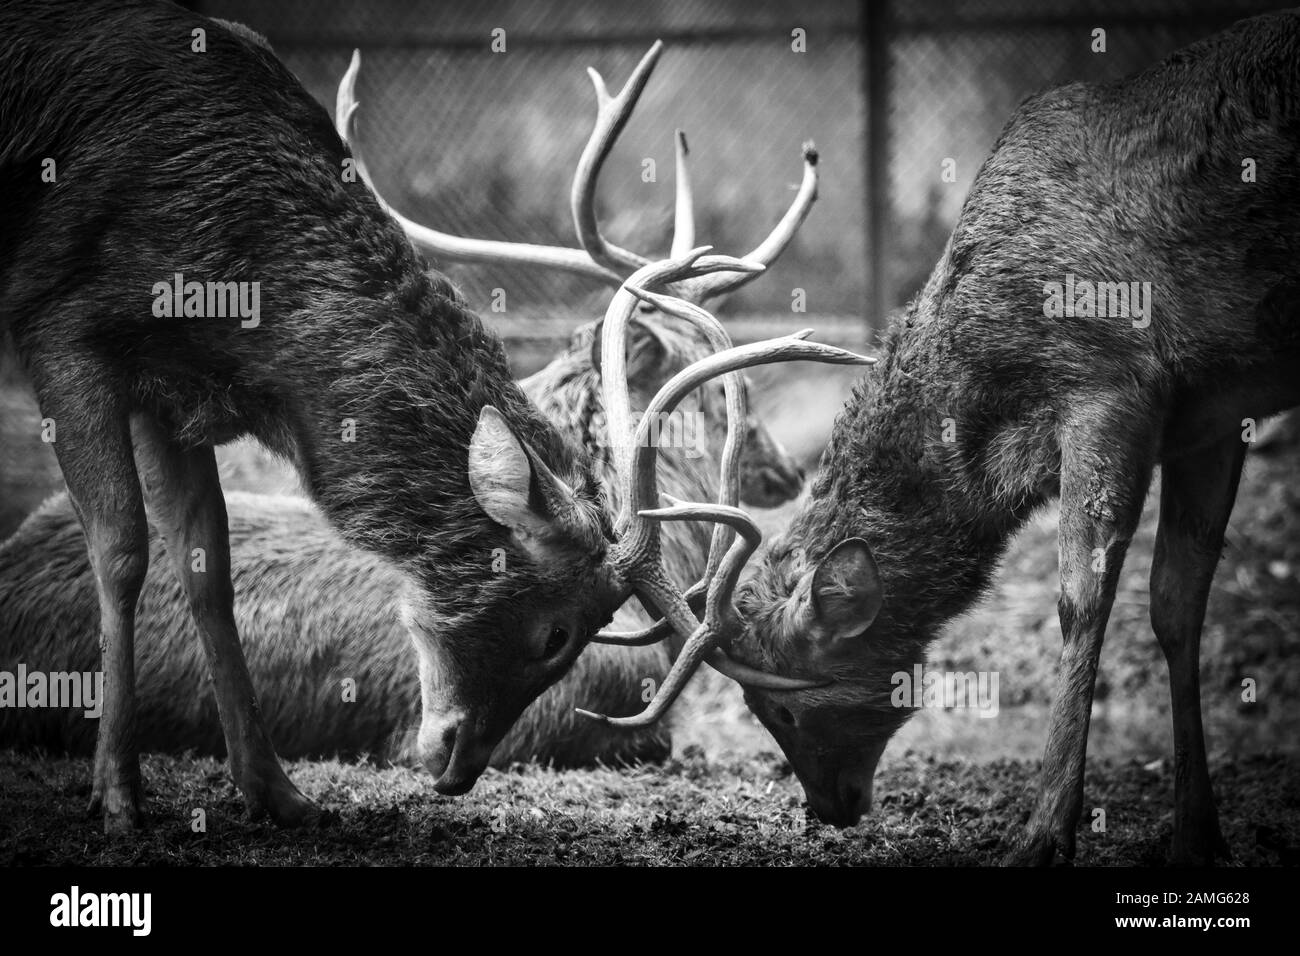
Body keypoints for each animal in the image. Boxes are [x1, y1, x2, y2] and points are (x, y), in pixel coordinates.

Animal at [0, 0, 864, 833]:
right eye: (555, 634)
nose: (456, 767)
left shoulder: (175, 396)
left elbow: (203, 563)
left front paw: (275, 793)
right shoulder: (65, 328)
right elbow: (125, 549)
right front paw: (119, 796)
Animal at [576, 9, 1300, 866]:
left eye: (776, 708)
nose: (830, 808)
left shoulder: (1110, 383)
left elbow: (1081, 600)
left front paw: (1043, 836)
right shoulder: (1212, 411)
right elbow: (1177, 604)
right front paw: (1197, 835)